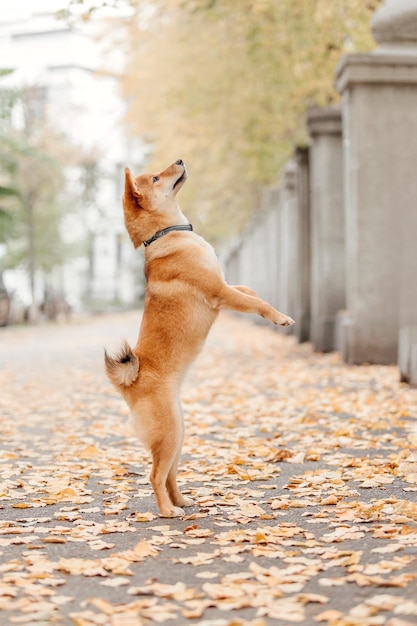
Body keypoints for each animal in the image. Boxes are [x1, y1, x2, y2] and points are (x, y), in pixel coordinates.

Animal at [103, 158, 292, 516]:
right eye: (155, 178)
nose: (178, 161)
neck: (165, 235)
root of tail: (129, 383)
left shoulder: (226, 286)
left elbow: (249, 291)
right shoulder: (219, 291)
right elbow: (256, 303)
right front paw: (279, 317)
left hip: (178, 435)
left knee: (168, 476)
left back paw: (181, 500)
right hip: (170, 434)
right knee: (154, 476)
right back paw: (167, 511)